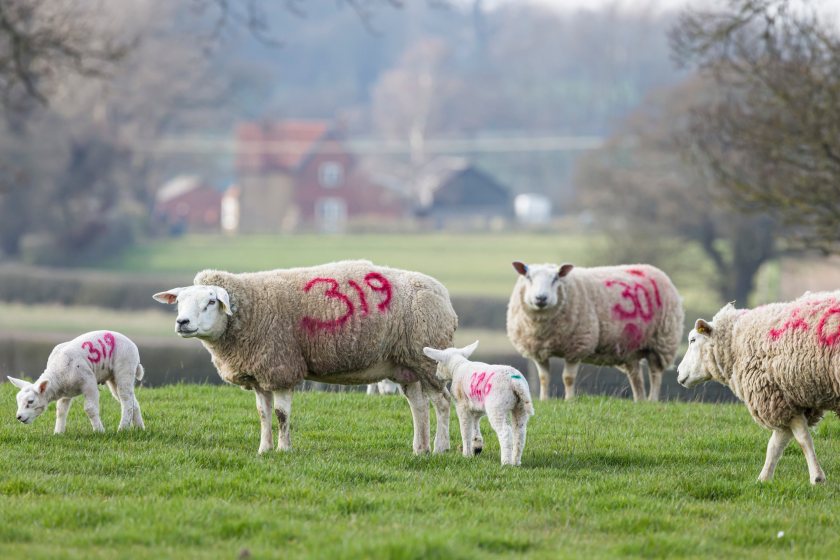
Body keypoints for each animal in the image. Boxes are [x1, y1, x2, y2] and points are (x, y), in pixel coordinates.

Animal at [6, 330, 144, 436]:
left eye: (30, 401)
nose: (19, 417)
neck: (56, 375)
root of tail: (132, 344)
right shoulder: (65, 391)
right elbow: (61, 410)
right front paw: (58, 433)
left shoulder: (89, 383)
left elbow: (90, 409)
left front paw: (99, 431)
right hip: (113, 378)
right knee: (132, 401)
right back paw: (139, 428)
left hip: (125, 368)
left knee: (126, 400)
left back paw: (123, 428)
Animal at [157, 262, 460, 456]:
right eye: (179, 302)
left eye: (210, 302)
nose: (182, 323)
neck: (251, 311)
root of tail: (443, 294)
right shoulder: (260, 374)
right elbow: (263, 414)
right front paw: (264, 449)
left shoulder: (281, 366)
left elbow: (281, 414)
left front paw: (283, 449)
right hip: (405, 365)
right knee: (419, 407)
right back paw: (420, 449)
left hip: (428, 359)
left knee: (442, 403)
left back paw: (441, 448)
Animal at [506, 260, 684, 400]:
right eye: (528, 277)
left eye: (556, 278)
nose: (541, 298)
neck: (543, 329)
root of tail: (653, 269)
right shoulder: (538, 350)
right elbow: (544, 378)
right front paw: (544, 400)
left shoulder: (577, 346)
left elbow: (568, 378)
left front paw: (569, 400)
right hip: (631, 347)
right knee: (636, 376)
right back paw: (639, 401)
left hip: (662, 341)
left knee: (655, 374)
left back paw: (652, 400)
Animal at [676, 296, 840, 484]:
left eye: (693, 340)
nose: (678, 372)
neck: (736, 344)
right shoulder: (784, 402)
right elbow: (775, 445)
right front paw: (763, 479)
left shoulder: (774, 396)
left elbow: (802, 440)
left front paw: (816, 478)